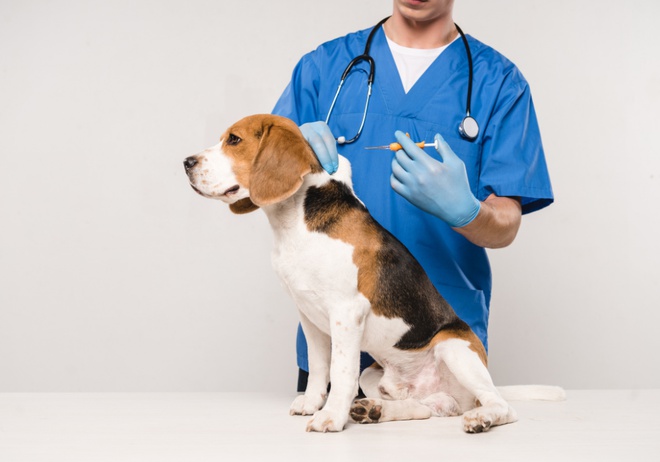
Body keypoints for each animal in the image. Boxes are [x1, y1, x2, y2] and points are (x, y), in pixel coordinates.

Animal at [184, 114, 564, 434]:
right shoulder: (308, 315)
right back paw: (377, 410)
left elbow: (340, 371)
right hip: (377, 373)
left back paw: (481, 417)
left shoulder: (345, 312)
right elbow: (319, 367)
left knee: (500, 405)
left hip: (454, 348)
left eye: (234, 140)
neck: (296, 222)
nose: (187, 162)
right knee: (428, 407)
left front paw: (330, 417)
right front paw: (312, 402)